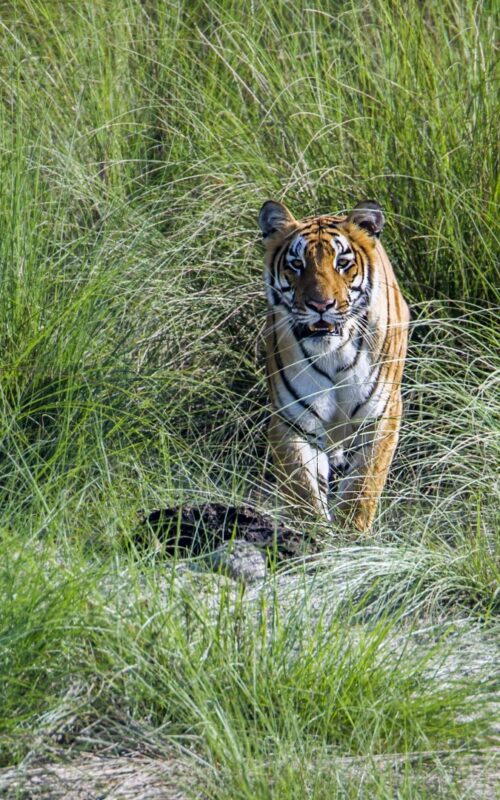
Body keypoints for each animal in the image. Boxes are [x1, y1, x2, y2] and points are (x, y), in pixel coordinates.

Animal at [258, 199, 409, 532]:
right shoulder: (293, 422)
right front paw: (313, 536)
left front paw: (352, 537)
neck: (334, 354)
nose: (320, 305)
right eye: (296, 264)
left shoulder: (380, 416)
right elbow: (303, 491)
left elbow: (362, 489)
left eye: (342, 263)